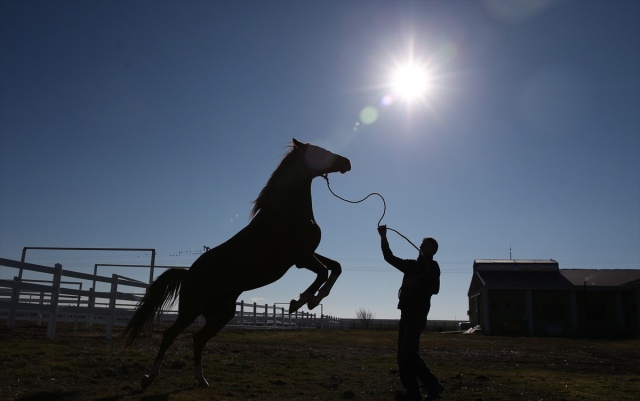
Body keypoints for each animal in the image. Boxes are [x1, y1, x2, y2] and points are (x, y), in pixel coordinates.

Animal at [120, 139, 350, 390]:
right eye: (319, 151)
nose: (346, 162)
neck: (287, 213)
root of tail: (188, 274)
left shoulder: (306, 255)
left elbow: (335, 267)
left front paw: (312, 299)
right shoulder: (300, 258)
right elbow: (323, 272)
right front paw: (302, 302)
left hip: (222, 313)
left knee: (198, 338)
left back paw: (201, 379)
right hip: (191, 309)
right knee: (170, 335)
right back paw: (149, 378)